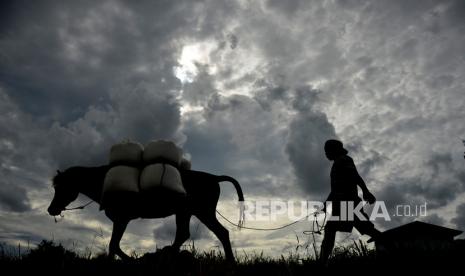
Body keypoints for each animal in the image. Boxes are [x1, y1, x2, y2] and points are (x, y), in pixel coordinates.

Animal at [46, 165, 243, 262]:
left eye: (62, 187)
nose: (51, 209)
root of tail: (214, 177)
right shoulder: (119, 220)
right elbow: (113, 246)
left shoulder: (122, 219)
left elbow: (114, 245)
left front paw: (132, 261)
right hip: (188, 212)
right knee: (191, 234)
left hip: (201, 212)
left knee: (216, 233)